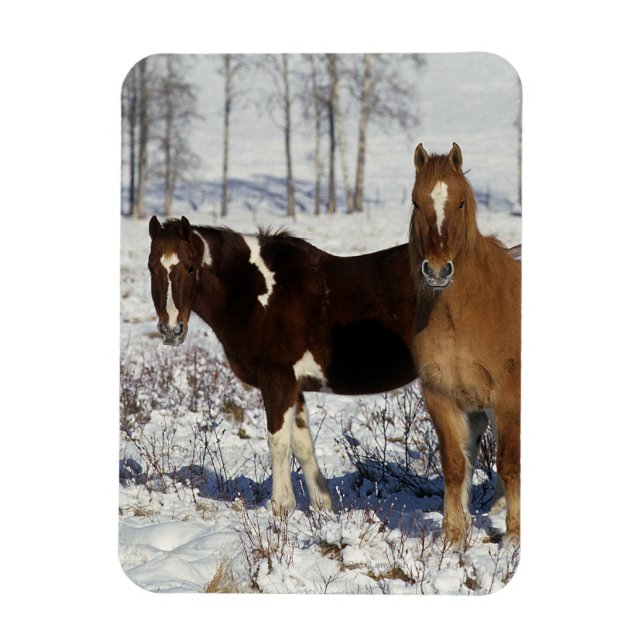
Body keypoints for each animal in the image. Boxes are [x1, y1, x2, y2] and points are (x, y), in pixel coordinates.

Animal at [146, 215, 504, 514]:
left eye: (189, 267)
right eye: (152, 267)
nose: (171, 330)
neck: (254, 293)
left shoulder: (276, 380)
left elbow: (278, 441)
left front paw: (280, 507)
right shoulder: (294, 386)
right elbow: (303, 444)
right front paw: (322, 506)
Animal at [409, 142, 521, 543]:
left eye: (459, 202)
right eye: (416, 201)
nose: (437, 270)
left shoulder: (508, 398)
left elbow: (509, 463)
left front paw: (514, 536)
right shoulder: (445, 398)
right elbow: (456, 464)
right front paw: (453, 535)